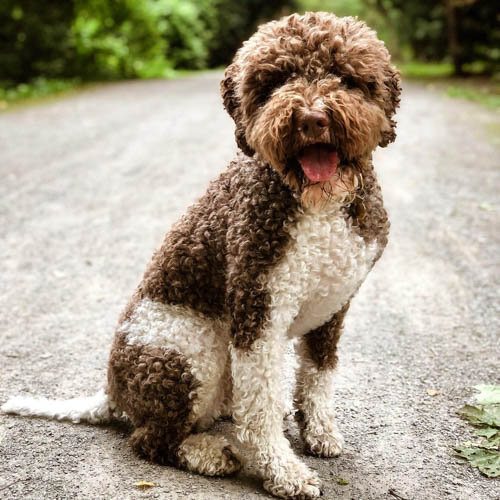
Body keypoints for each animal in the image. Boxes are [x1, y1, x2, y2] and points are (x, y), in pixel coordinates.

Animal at [2, 11, 402, 500]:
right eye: (274, 81)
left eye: (345, 76)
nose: (311, 119)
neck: (316, 202)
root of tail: (112, 394)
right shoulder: (258, 306)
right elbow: (261, 401)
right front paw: (283, 471)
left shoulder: (333, 308)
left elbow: (318, 376)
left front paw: (319, 431)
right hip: (187, 347)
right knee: (151, 438)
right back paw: (209, 452)